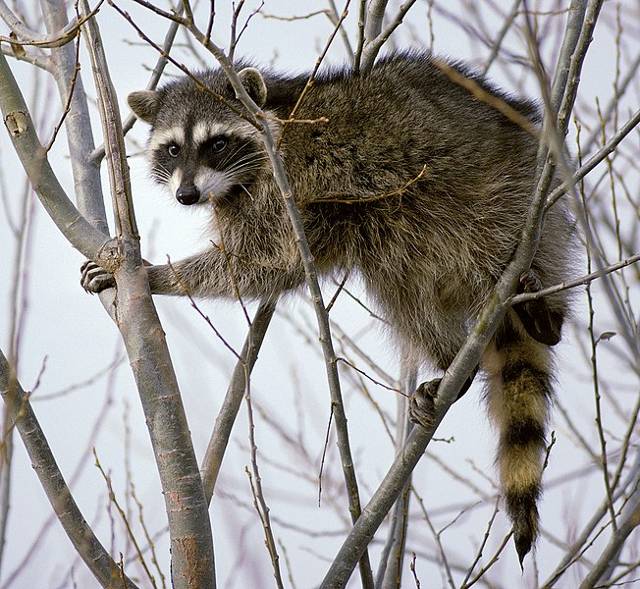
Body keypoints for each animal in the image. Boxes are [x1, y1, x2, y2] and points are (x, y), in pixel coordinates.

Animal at [82, 51, 574, 563]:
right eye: (174, 149)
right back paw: (451, 357)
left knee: (484, 240)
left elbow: (260, 261)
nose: (187, 195)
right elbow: (269, 268)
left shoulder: (286, 186)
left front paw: (156, 275)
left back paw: (544, 312)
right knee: (400, 285)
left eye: (216, 143)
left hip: (504, 194)